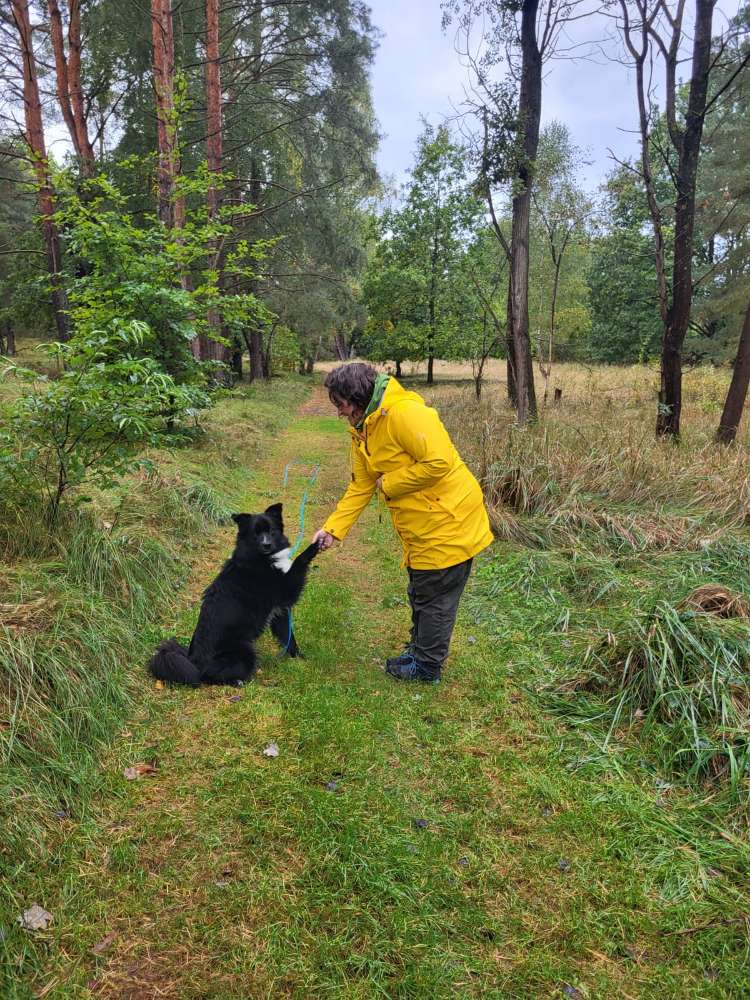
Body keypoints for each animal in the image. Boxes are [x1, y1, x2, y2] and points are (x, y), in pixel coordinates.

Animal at [149, 504, 320, 684]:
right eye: (255, 534)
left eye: (271, 531)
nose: (266, 545)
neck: (260, 558)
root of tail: (194, 662)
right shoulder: (285, 589)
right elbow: (299, 561)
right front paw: (315, 545)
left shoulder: (280, 612)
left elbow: (288, 637)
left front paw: (299, 658)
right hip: (245, 650)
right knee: (209, 676)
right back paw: (237, 681)